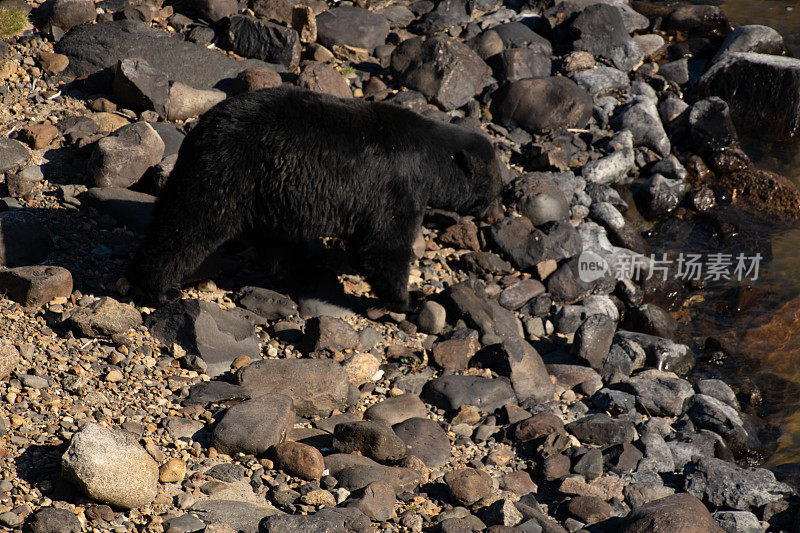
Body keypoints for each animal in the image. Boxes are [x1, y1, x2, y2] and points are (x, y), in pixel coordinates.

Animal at [126, 85, 500, 310]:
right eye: (495, 187)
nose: (496, 213)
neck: (430, 158)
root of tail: (199, 129)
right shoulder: (397, 187)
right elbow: (382, 246)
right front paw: (410, 299)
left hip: (266, 189)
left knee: (273, 241)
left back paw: (299, 275)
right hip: (230, 173)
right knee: (190, 225)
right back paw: (160, 288)